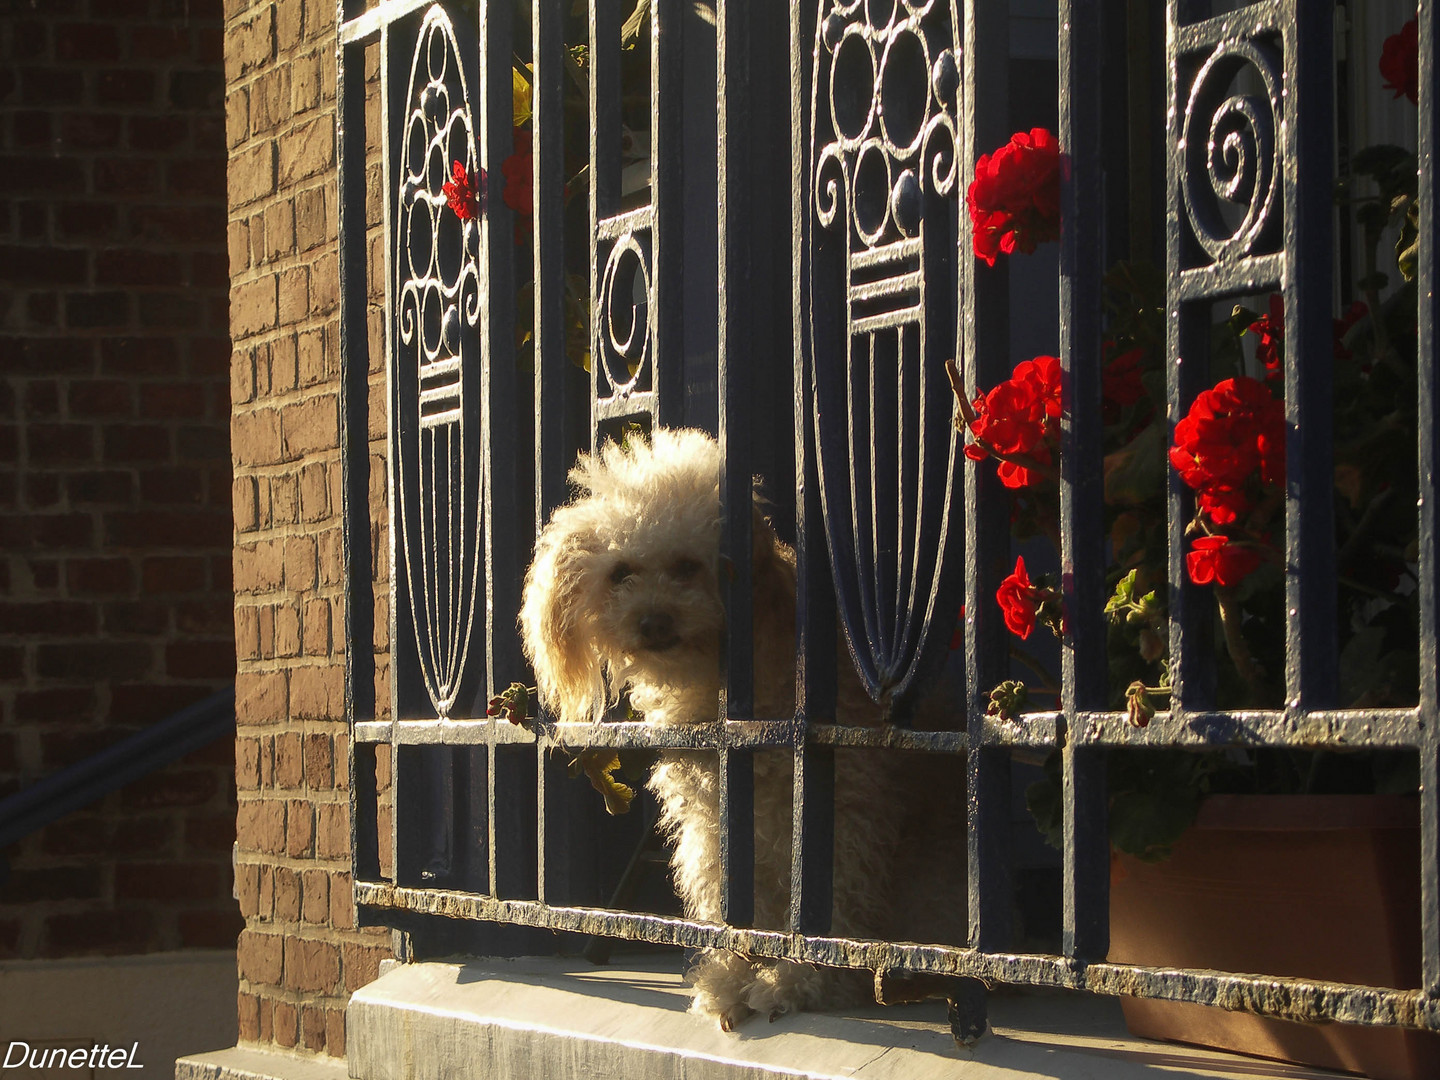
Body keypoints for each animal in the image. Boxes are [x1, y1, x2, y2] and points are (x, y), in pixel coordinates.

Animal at [518, 429, 967, 1031]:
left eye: (688, 565)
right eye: (621, 573)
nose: (653, 622)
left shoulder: (842, 810)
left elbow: (829, 908)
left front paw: (800, 981)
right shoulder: (719, 821)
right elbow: (727, 897)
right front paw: (732, 977)